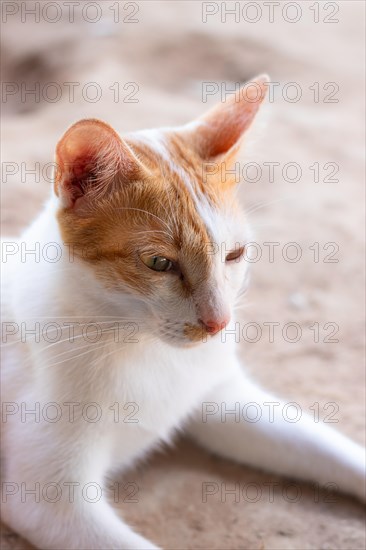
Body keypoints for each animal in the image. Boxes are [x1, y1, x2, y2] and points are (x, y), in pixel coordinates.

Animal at [1, 74, 364, 550]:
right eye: (159, 263)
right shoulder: (48, 502)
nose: (219, 323)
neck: (143, 348)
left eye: (234, 254)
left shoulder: (224, 401)